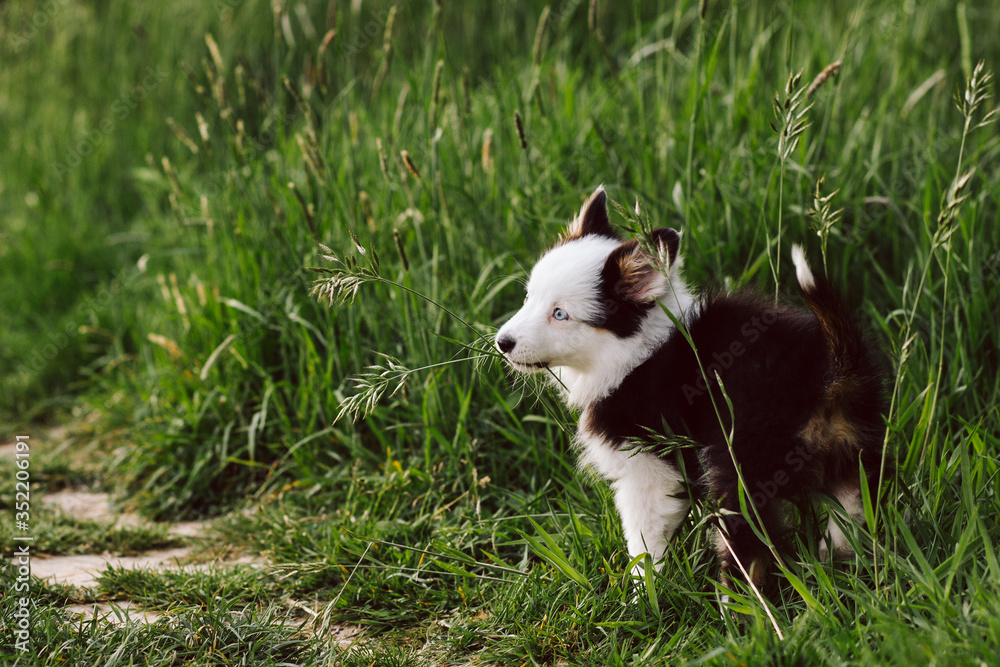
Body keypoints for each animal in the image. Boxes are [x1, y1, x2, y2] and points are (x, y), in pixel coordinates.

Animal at [496, 185, 888, 588]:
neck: (633, 350)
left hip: (740, 468)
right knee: (852, 514)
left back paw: (739, 598)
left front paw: (642, 592)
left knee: (750, 548)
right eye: (528, 298)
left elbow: (644, 544)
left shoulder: (647, 473)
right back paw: (839, 566)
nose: (502, 343)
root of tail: (826, 368)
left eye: (560, 314)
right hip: (853, 454)